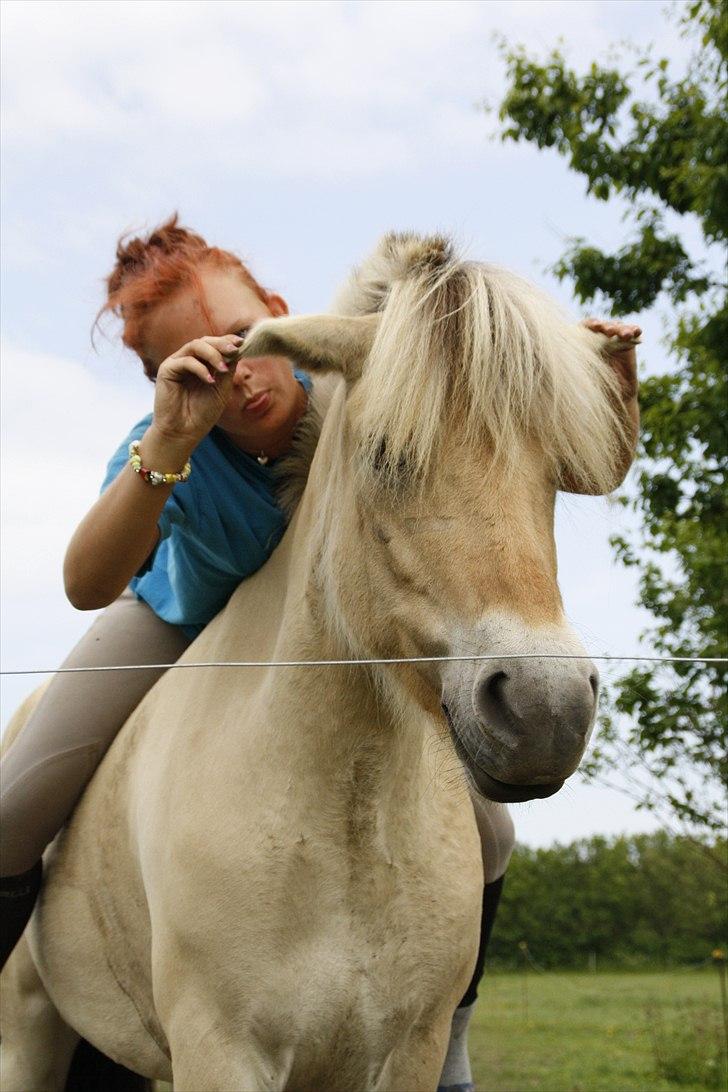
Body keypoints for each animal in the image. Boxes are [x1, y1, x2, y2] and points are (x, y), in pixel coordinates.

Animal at [0, 232, 628, 1092]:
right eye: (388, 456)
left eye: (555, 476)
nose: (546, 709)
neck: (343, 838)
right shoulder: (221, 1052)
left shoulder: (405, 1054)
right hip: (29, 1030)